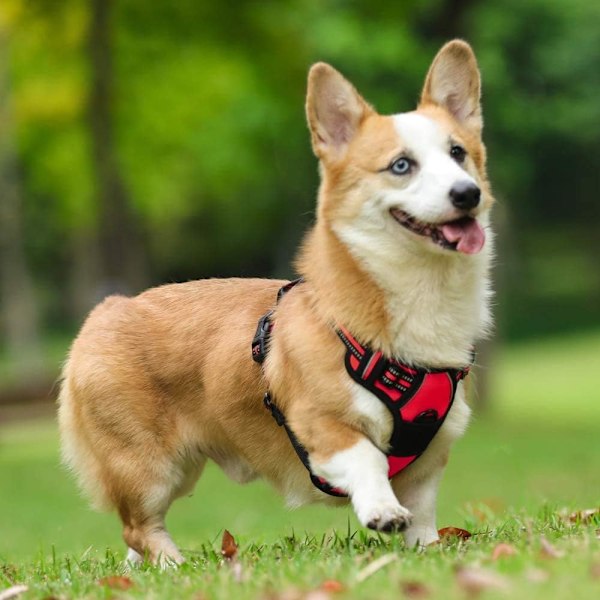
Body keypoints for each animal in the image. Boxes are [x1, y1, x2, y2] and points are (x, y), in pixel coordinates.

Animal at [58, 39, 494, 564]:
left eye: (458, 154)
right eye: (401, 165)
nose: (467, 193)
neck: (422, 294)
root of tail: (102, 313)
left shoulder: (433, 452)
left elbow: (424, 509)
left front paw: (427, 548)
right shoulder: (322, 426)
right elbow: (367, 458)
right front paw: (382, 511)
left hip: (178, 468)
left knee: (134, 537)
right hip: (148, 467)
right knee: (138, 527)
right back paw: (174, 565)